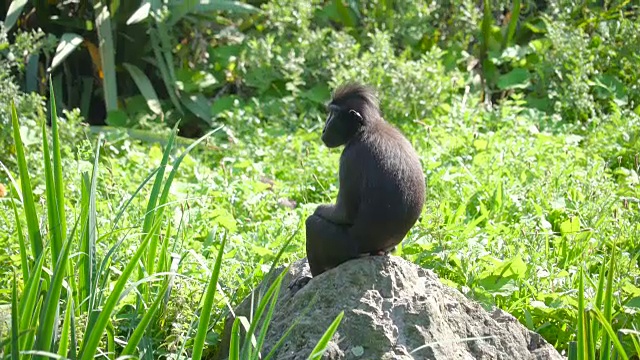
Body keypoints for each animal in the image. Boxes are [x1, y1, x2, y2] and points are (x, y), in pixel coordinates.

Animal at [290, 83, 424, 292]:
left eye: (333, 114)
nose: (323, 130)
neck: (366, 128)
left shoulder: (349, 157)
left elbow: (343, 213)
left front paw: (318, 209)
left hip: (345, 248)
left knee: (312, 225)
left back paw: (310, 278)